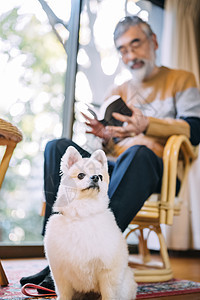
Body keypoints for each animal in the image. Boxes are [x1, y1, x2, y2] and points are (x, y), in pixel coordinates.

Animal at [43, 146, 138, 300]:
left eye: (100, 176)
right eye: (81, 175)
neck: (83, 213)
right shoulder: (60, 272)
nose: (95, 178)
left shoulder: (107, 271)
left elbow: (108, 294)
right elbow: (63, 293)